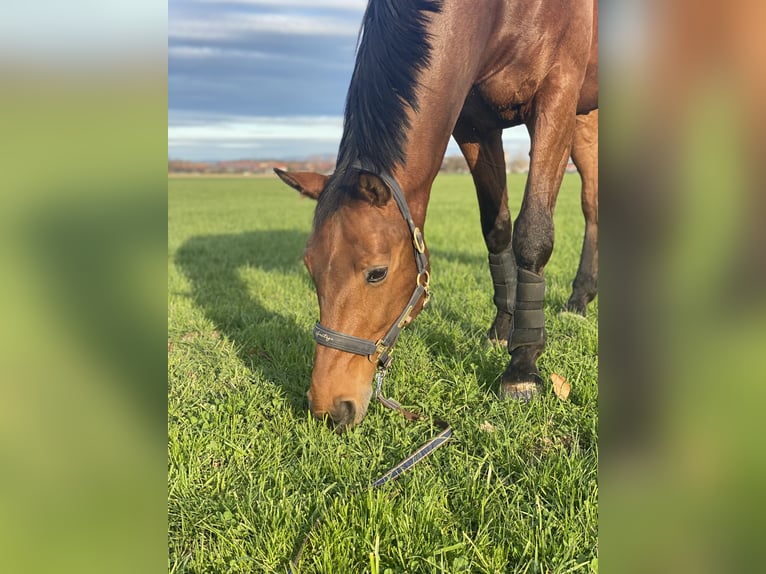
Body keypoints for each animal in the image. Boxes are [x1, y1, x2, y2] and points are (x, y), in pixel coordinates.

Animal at [276, 0, 600, 430]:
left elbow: (532, 234)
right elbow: (497, 229)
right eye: (310, 267)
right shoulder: (476, 124)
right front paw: (502, 329)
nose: (328, 407)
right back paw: (581, 297)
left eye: (376, 273)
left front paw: (522, 367)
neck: (503, 14)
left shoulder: (556, 97)